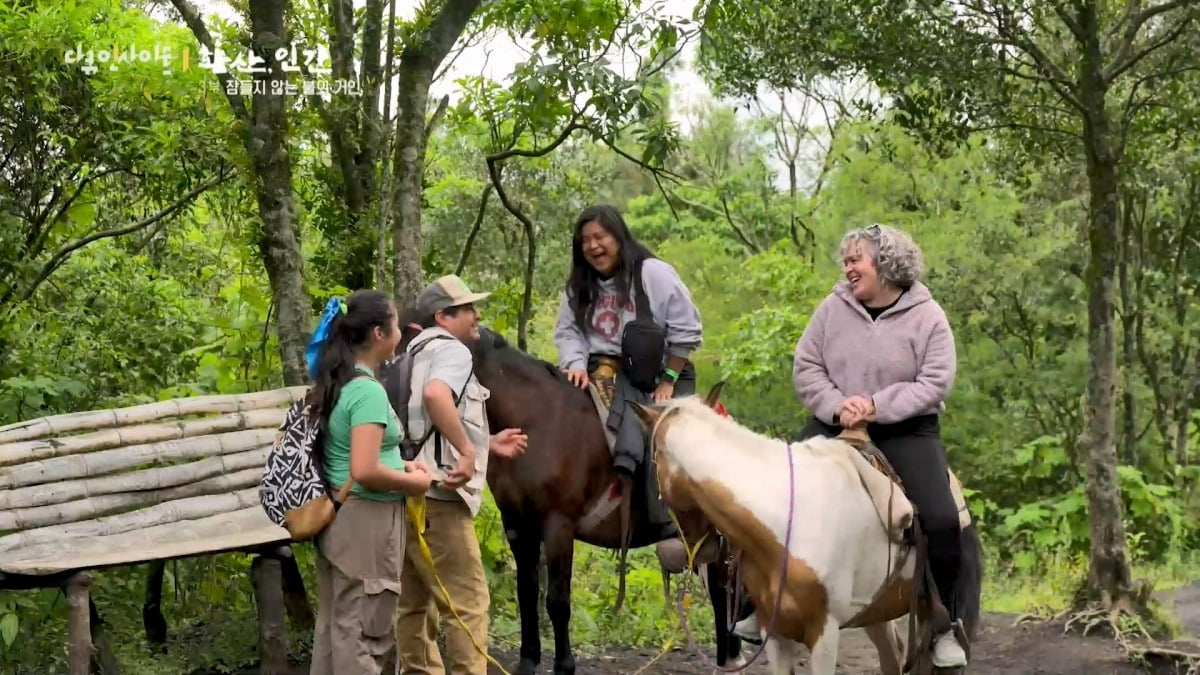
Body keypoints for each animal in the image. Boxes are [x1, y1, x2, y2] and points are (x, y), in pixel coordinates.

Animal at [398, 324, 739, 667]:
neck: (537, 420)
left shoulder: (558, 524)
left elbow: (558, 599)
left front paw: (564, 664)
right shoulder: (518, 523)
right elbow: (527, 592)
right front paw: (528, 660)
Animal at [633, 389, 979, 672]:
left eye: (653, 465)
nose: (701, 550)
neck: (787, 520)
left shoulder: (823, 634)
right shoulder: (773, 633)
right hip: (877, 613)